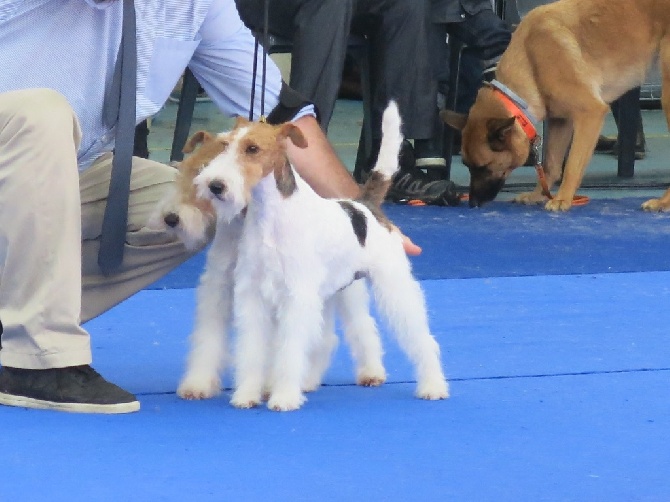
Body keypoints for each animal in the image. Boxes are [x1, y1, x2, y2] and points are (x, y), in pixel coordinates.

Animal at [444, 0, 670, 211]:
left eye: (483, 167)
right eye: (468, 166)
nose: (472, 203)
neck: (530, 61)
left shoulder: (590, 114)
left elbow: (571, 166)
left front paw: (562, 198)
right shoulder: (560, 121)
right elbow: (550, 165)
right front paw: (538, 195)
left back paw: (662, 202)